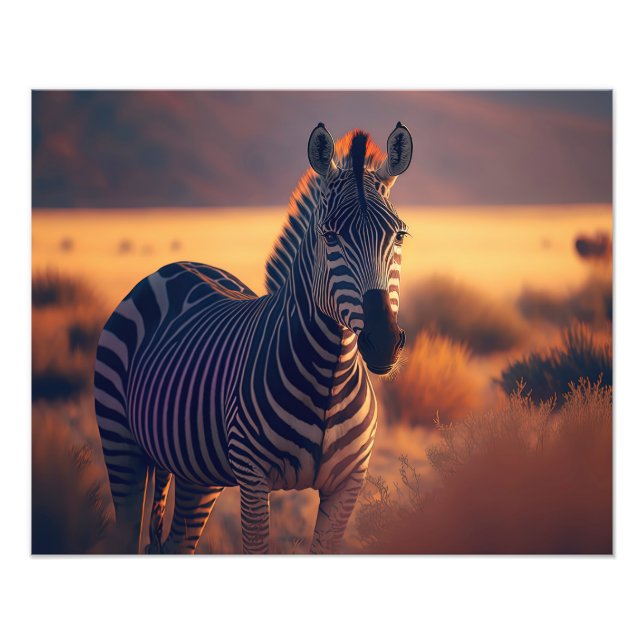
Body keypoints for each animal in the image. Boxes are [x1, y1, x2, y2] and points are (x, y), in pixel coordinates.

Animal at [94, 122, 413, 554]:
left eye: (399, 236)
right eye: (330, 236)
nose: (383, 341)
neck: (329, 374)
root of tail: (174, 266)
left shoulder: (348, 485)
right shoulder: (253, 477)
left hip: (195, 471)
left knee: (177, 543)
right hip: (120, 441)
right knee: (126, 533)